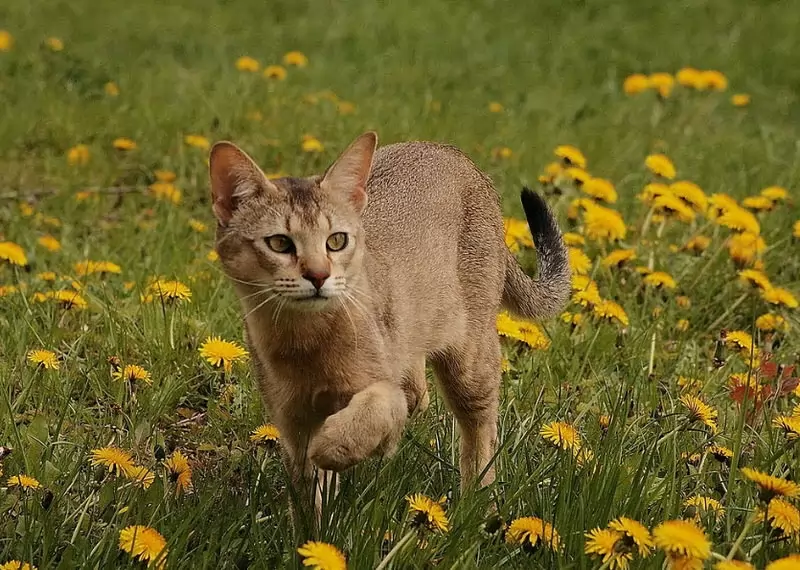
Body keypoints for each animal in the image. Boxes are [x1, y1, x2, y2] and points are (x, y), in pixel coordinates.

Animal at [206, 131, 568, 516]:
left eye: (336, 241)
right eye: (279, 243)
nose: (318, 276)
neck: (306, 343)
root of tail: (451, 152)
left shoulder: (379, 393)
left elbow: (371, 414)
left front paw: (333, 446)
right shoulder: (291, 421)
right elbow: (310, 503)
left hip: (471, 361)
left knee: (479, 429)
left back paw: (476, 506)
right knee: (418, 392)